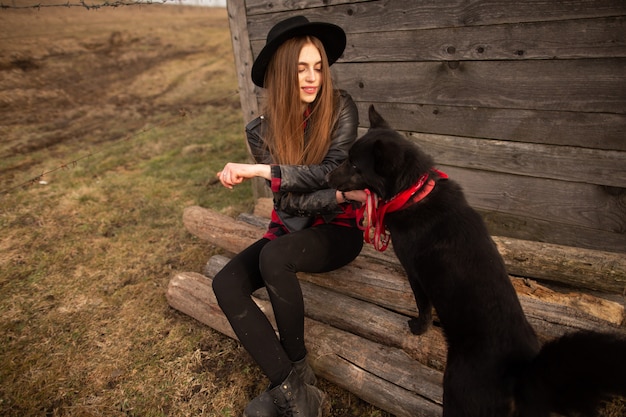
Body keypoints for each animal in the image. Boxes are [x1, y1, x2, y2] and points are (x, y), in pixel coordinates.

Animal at [326, 105, 624, 414]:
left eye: (355, 166)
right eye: (347, 159)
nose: (326, 179)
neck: (413, 193)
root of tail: (520, 371)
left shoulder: (415, 274)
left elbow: (423, 306)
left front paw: (419, 328)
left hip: (455, 390)